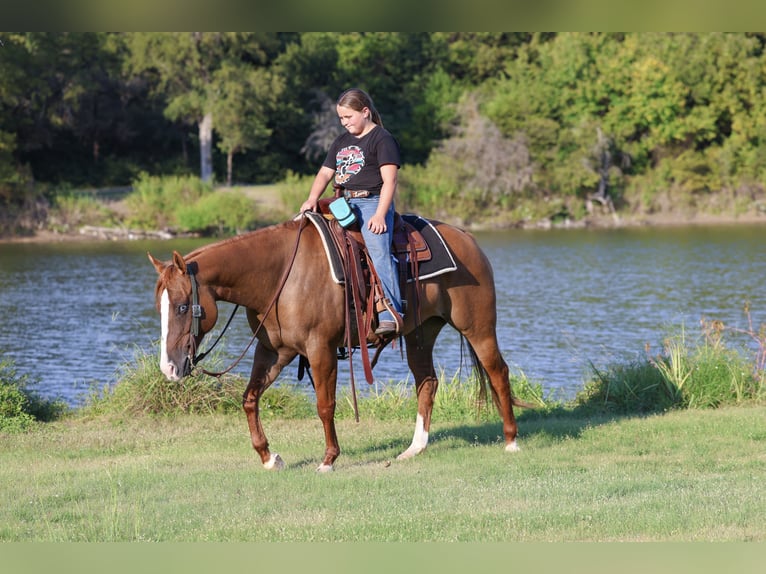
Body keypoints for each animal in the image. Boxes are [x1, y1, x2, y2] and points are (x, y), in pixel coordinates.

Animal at [148, 215, 529, 472]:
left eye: (182, 306)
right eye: (160, 308)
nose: (169, 368)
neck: (279, 275)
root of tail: (467, 238)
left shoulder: (320, 349)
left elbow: (325, 405)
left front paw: (329, 459)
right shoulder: (274, 351)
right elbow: (250, 399)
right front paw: (269, 457)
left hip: (478, 327)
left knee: (498, 372)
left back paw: (511, 440)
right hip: (421, 333)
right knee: (427, 382)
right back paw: (414, 448)